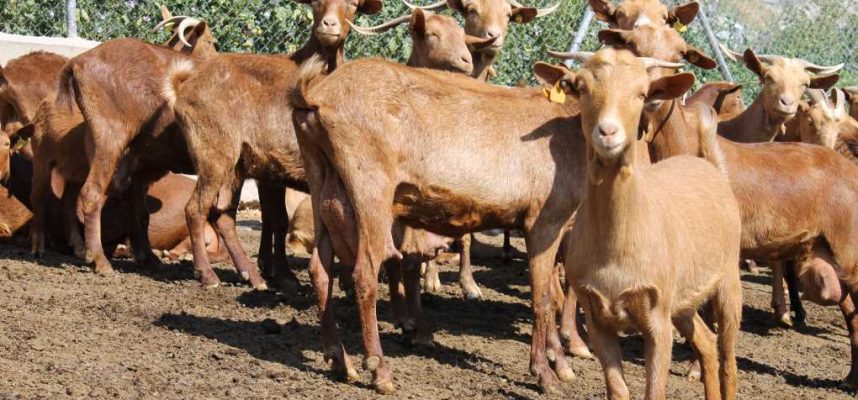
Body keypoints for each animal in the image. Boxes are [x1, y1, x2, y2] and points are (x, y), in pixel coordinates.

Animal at [536, 48, 741, 400]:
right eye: (581, 87)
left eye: (643, 93)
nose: (608, 132)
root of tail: (710, 168)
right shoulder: (597, 318)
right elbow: (618, 390)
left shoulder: (657, 317)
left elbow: (655, 391)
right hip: (682, 300)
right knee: (706, 342)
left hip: (729, 277)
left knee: (728, 355)